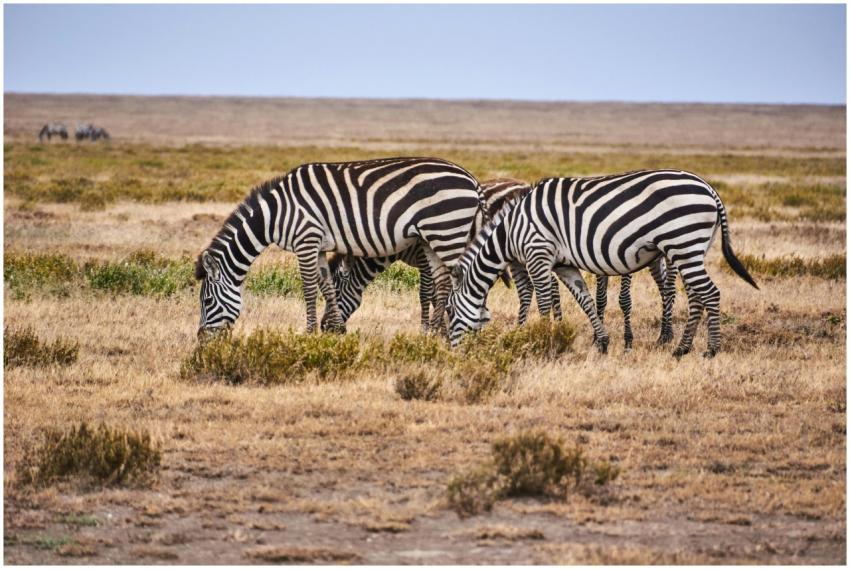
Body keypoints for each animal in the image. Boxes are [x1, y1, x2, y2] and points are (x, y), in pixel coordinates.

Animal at [195, 157, 485, 338]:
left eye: (207, 301)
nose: (201, 339)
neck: (276, 214)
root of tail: (471, 179)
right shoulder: (320, 245)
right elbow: (327, 286)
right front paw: (334, 330)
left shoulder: (306, 239)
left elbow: (309, 288)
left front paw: (309, 333)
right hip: (432, 238)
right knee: (444, 283)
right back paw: (436, 334)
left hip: (446, 231)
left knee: (460, 280)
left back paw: (458, 330)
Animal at [447, 169, 758, 357]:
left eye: (449, 310)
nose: (449, 349)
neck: (511, 231)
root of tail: (708, 188)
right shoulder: (563, 264)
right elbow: (584, 300)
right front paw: (602, 342)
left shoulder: (538, 254)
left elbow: (544, 302)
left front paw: (540, 340)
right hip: (691, 249)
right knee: (696, 297)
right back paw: (681, 348)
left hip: (683, 243)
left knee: (711, 293)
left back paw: (711, 349)